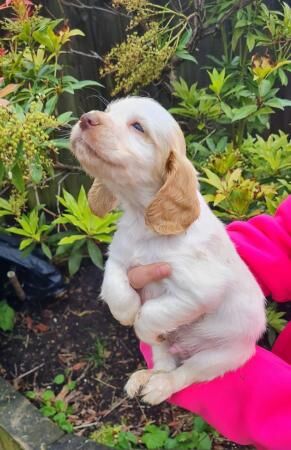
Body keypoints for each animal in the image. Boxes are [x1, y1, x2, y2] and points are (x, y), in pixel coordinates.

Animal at [70, 96, 266, 406]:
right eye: (109, 111)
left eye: (138, 127)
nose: (86, 119)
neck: (143, 221)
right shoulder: (118, 258)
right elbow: (115, 288)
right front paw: (126, 313)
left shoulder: (199, 291)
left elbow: (150, 313)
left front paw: (138, 322)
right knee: (163, 361)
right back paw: (144, 377)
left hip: (220, 356)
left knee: (183, 373)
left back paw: (159, 386)